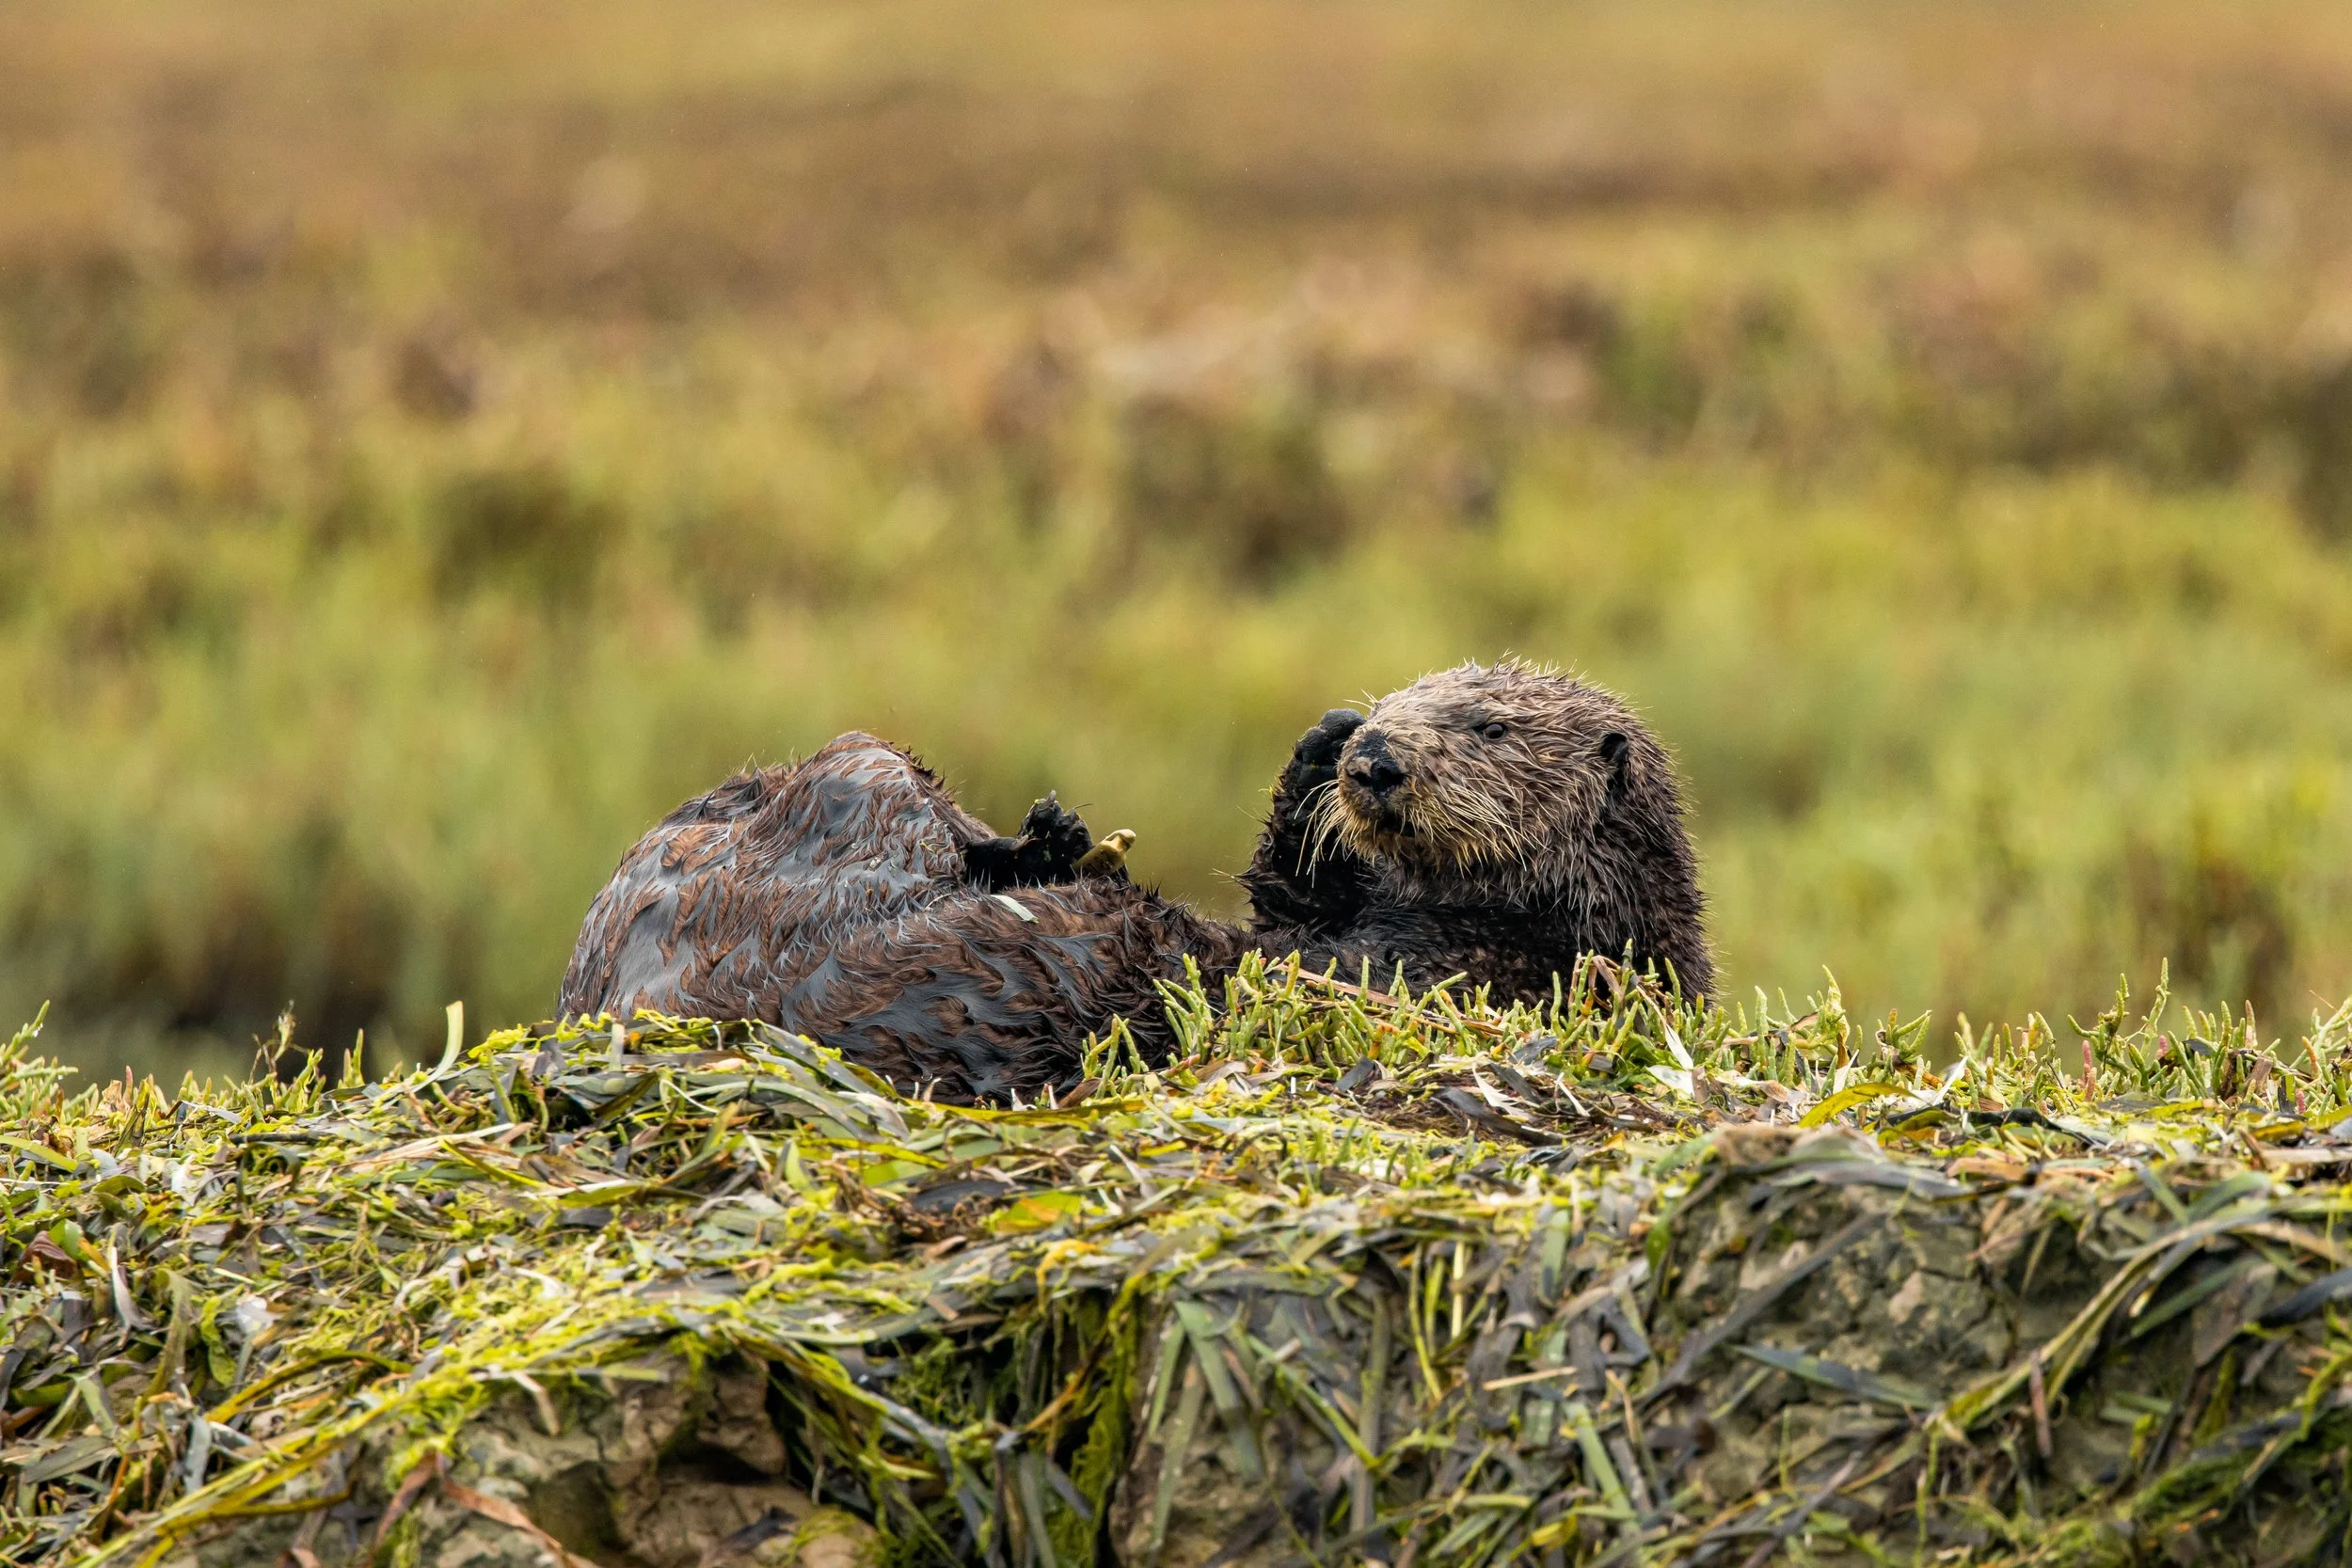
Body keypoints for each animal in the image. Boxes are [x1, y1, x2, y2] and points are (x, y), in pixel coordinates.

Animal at [556, 660, 1709, 1099]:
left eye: (1487, 724)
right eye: (1401, 698)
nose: (1375, 752)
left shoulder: (1509, 966)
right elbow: (1285, 895)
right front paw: (1315, 748)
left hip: (853, 801)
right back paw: (1051, 838)